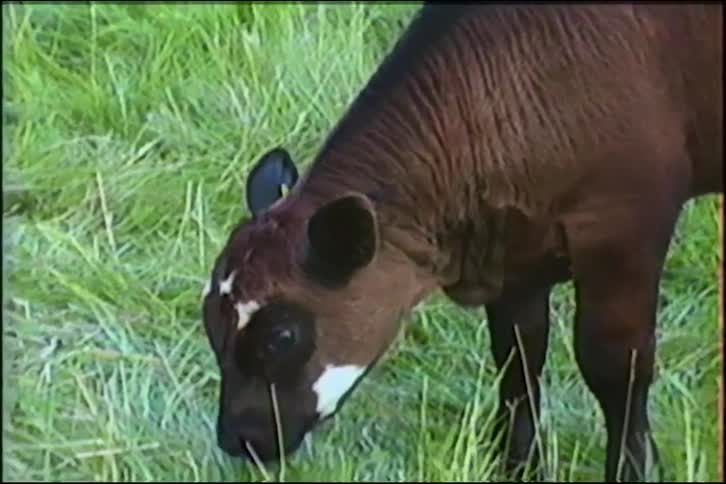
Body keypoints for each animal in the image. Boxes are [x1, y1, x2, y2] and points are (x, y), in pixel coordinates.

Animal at [200, 3, 723, 482]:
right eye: (210, 324)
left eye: (282, 337)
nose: (236, 438)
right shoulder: (516, 253)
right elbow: (517, 358)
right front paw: (516, 468)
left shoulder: (623, 228)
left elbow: (616, 367)